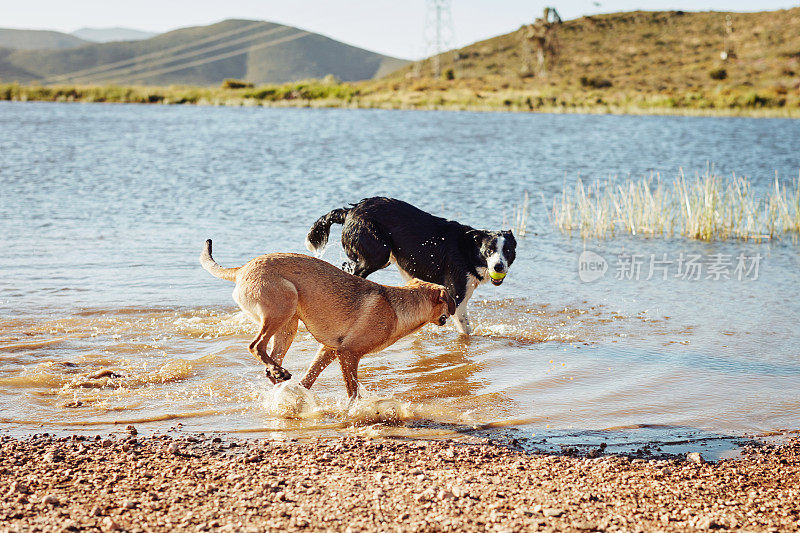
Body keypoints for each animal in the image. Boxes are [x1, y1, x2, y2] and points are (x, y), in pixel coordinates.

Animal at [198, 239, 456, 396]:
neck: (398, 306)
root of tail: (241, 269)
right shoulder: (348, 354)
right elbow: (353, 391)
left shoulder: (329, 350)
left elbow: (308, 380)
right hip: (284, 306)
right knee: (255, 346)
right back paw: (278, 372)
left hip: (288, 326)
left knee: (269, 360)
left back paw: (278, 375)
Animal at [304, 197, 516, 334]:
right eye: (489, 251)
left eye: (508, 251)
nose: (498, 267)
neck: (469, 250)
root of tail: (349, 210)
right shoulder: (457, 295)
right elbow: (466, 330)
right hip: (378, 254)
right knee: (348, 269)